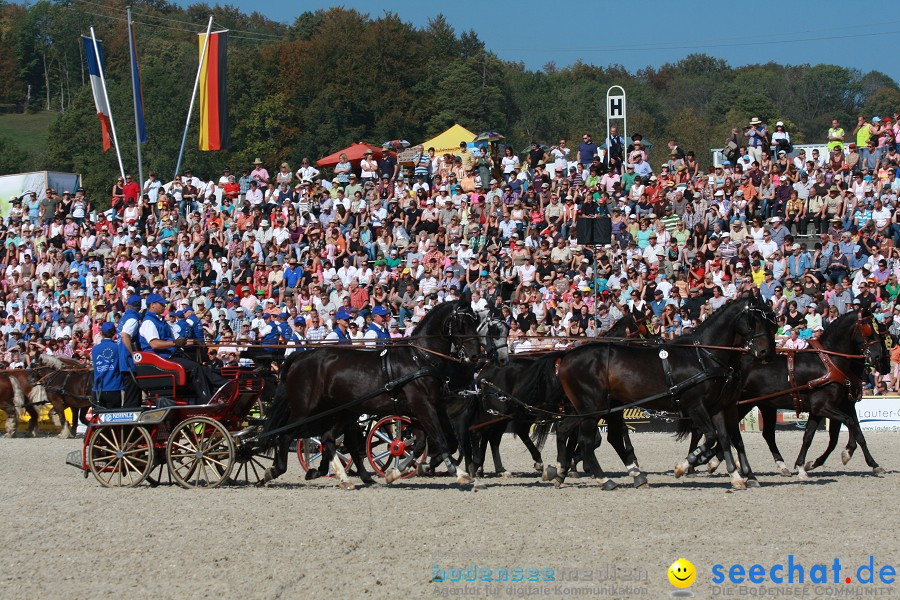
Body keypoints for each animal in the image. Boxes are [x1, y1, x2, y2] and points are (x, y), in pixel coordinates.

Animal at [260, 298, 502, 490]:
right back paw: (274, 471)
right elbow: (439, 441)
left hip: (344, 412)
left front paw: (397, 472)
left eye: (475, 322)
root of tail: (300, 357)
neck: (420, 358)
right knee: (286, 435)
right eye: (462, 323)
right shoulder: (422, 406)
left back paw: (345, 478)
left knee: (328, 439)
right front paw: (460, 473)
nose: (475, 355)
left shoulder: (429, 407)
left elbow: (432, 443)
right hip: (306, 410)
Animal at [556, 292, 772, 492]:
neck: (702, 355)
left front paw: (735, 476)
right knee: (585, 441)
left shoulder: (717, 406)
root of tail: (567, 356)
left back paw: (565, 472)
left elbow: (725, 438)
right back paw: (604, 479)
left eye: (770, 319)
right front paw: (685, 465)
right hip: (591, 409)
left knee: (577, 432)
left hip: (598, 408)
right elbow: (711, 437)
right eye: (754, 319)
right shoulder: (695, 406)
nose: (765, 351)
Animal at [688, 310, 884, 478]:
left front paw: (803, 465)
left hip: (758, 405)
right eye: (869, 331)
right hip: (741, 405)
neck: (828, 362)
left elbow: (811, 436)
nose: (878, 357)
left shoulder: (822, 409)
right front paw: (847, 453)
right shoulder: (824, 407)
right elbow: (851, 425)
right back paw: (701, 461)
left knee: (763, 434)